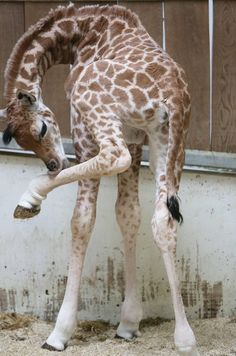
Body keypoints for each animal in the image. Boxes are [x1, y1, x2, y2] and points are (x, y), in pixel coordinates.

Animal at [0, 3, 199, 356]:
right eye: (23, 143)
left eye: (42, 128)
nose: (54, 163)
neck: (81, 33)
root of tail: (174, 95)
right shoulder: (135, 139)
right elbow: (128, 214)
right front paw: (129, 323)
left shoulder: (83, 132)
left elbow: (82, 220)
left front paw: (60, 332)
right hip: (168, 144)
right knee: (163, 220)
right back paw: (185, 337)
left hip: (93, 107)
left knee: (113, 157)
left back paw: (30, 196)